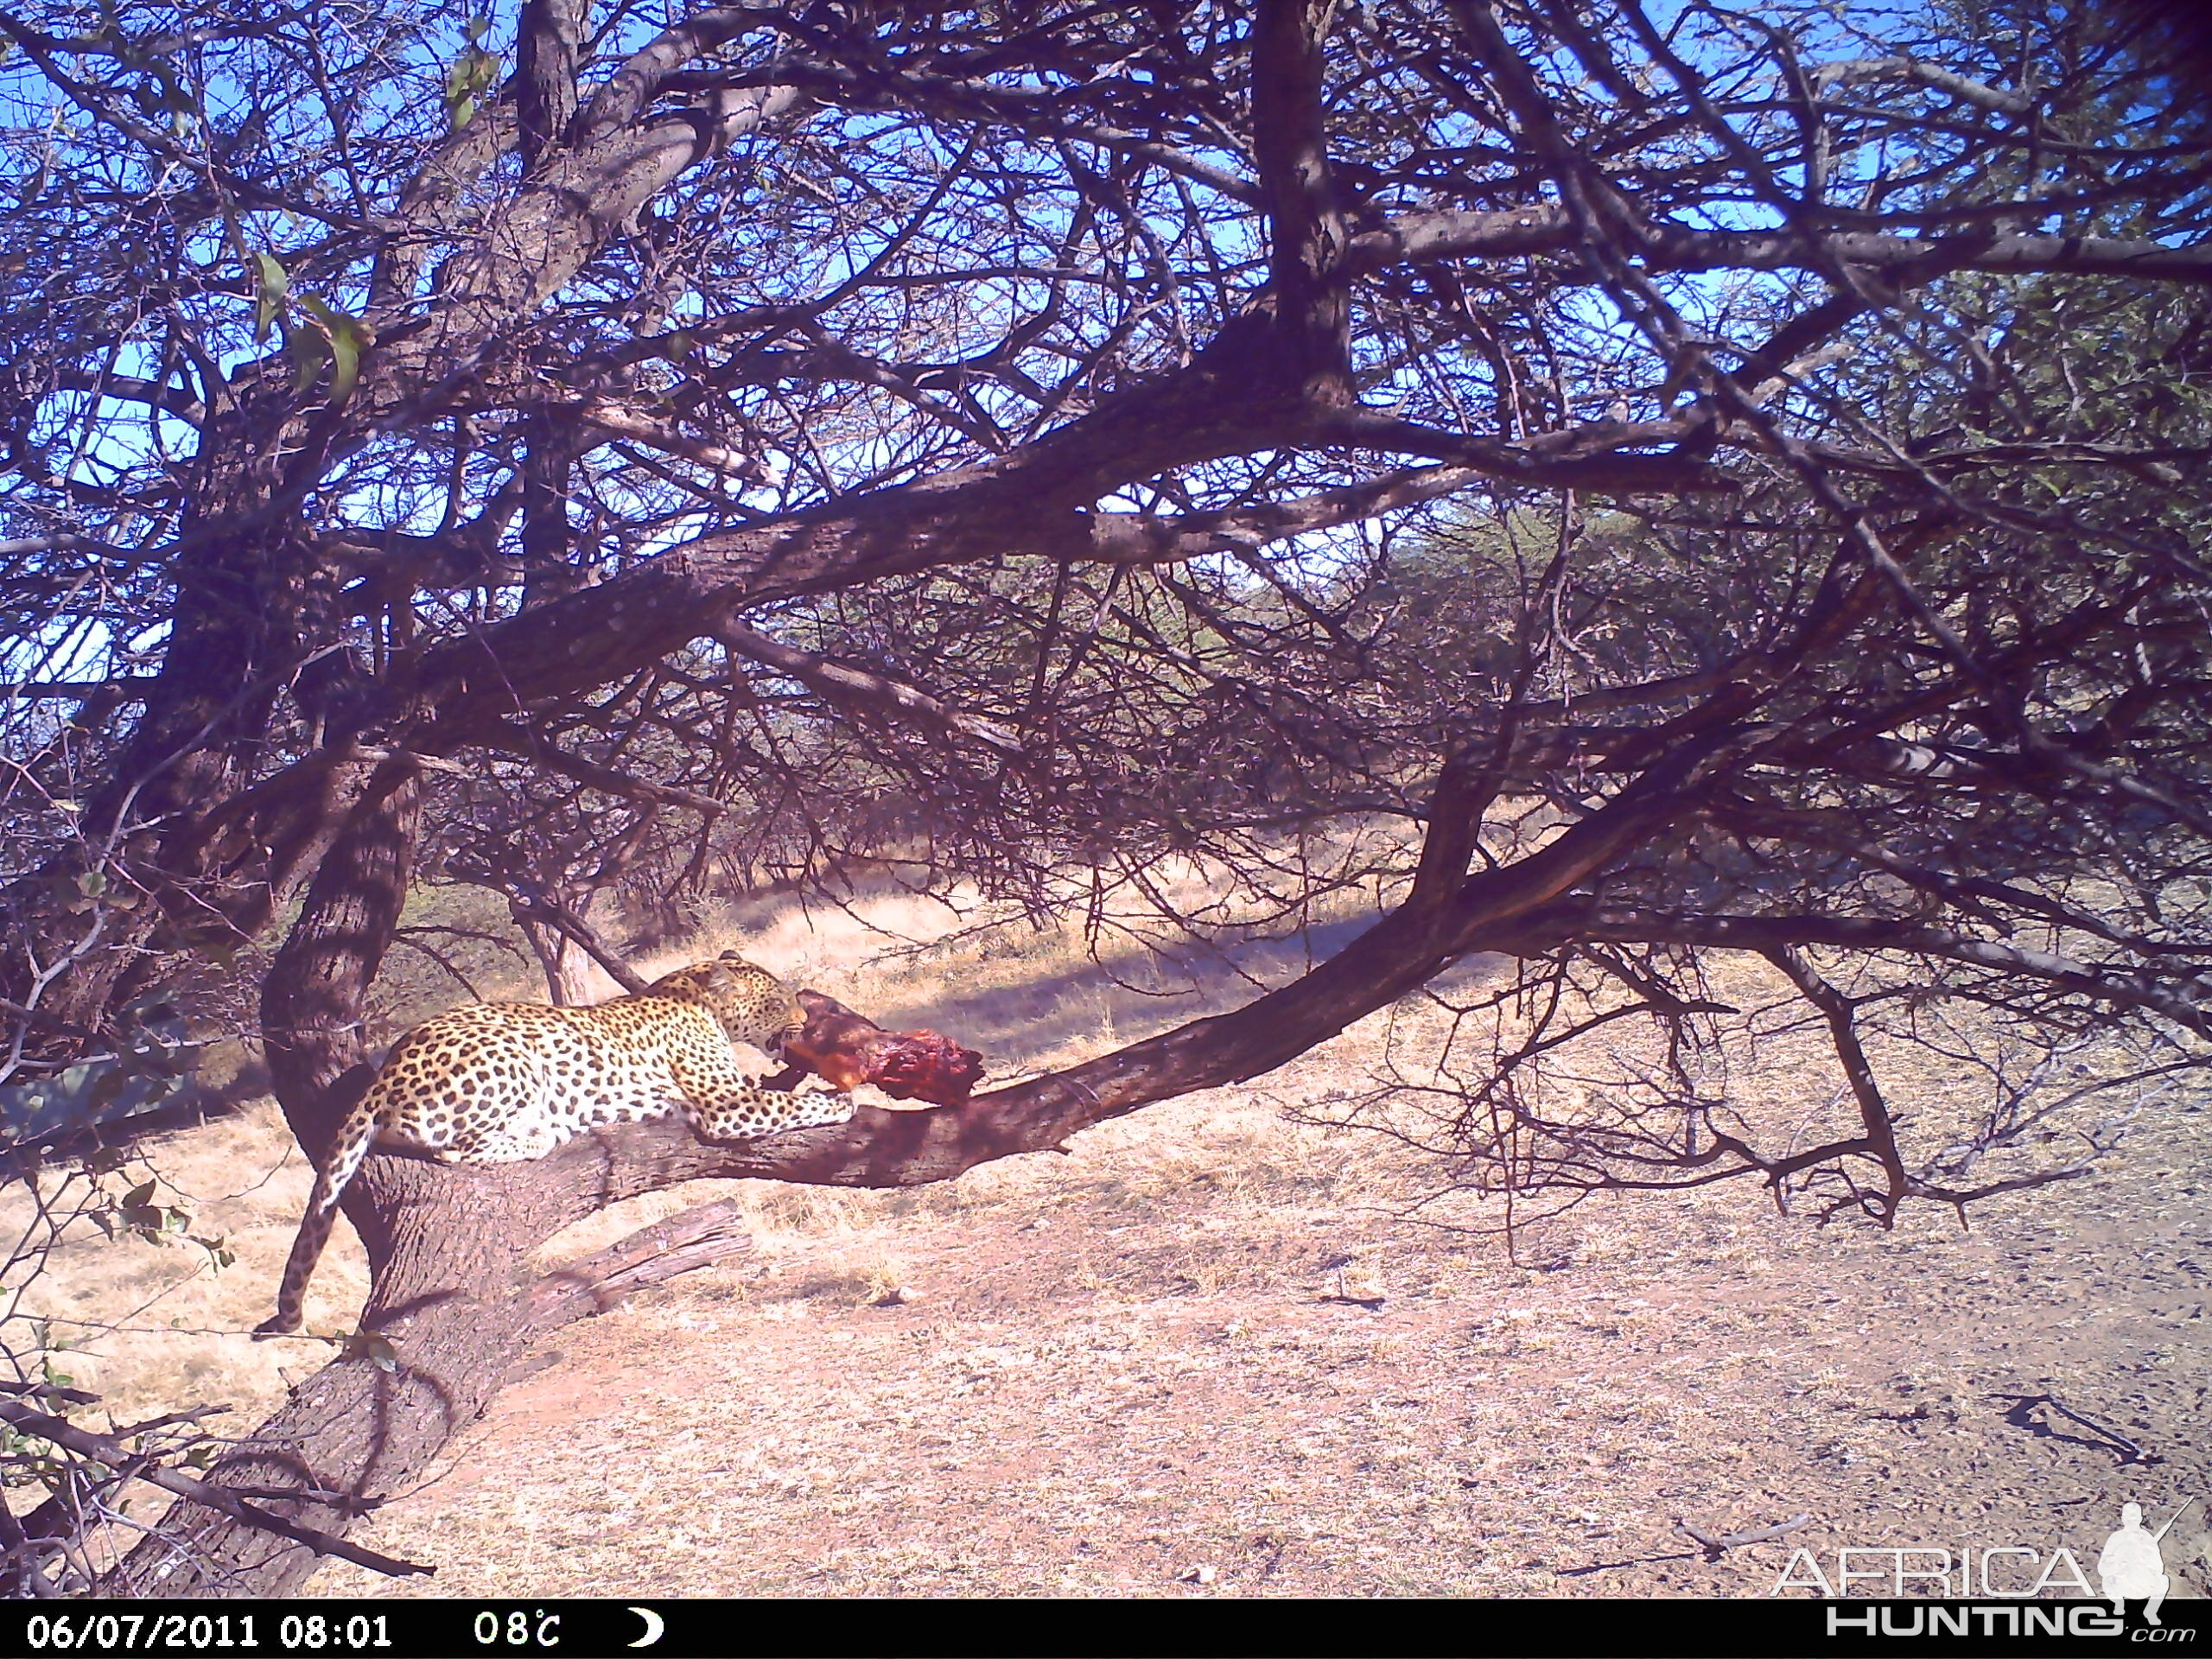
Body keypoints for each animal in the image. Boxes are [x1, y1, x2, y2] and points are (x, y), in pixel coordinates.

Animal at [254, 955, 849, 1344]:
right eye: (778, 1000)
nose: (804, 1021)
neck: (695, 997)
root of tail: (382, 1076)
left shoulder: (733, 1093)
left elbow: (776, 1090)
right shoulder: (724, 1105)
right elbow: (786, 1105)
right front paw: (837, 1101)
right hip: (512, 1060)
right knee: (455, 1150)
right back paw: (542, 1133)